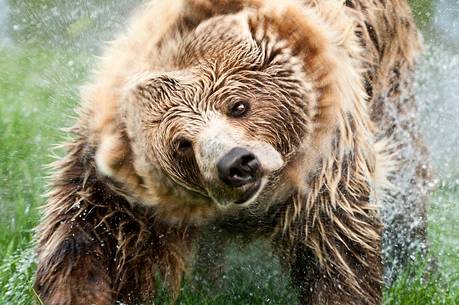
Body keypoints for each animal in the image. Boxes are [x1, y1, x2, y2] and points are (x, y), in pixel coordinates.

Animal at [35, 0, 432, 304]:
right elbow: (88, 229)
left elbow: (337, 246)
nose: (238, 163)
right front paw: (82, 290)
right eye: (181, 143)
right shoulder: (122, 180)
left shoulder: (324, 168)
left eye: (239, 105)